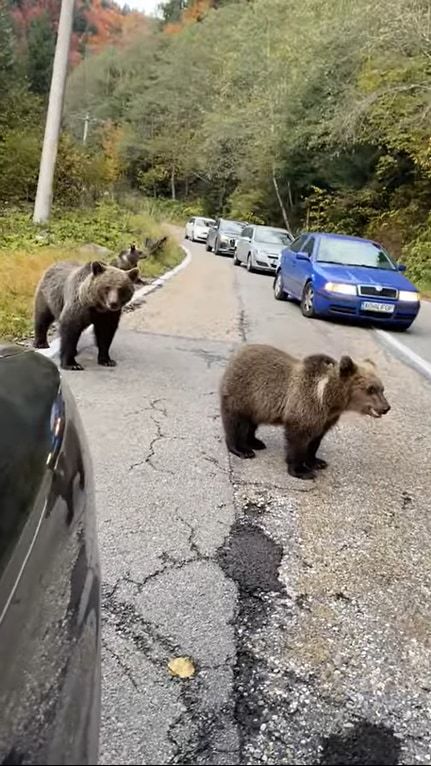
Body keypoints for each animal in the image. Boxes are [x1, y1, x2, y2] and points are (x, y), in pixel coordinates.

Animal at [221, 346, 390, 480]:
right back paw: (242, 449)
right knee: (235, 421)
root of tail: (240, 352)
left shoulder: (326, 418)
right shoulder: (305, 407)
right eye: (370, 389)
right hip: (243, 393)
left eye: (382, 389)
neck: (329, 399)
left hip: (258, 405)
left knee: (252, 422)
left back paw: (255, 442)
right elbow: (298, 440)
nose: (386, 407)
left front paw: (317, 462)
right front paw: (301, 470)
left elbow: (316, 440)